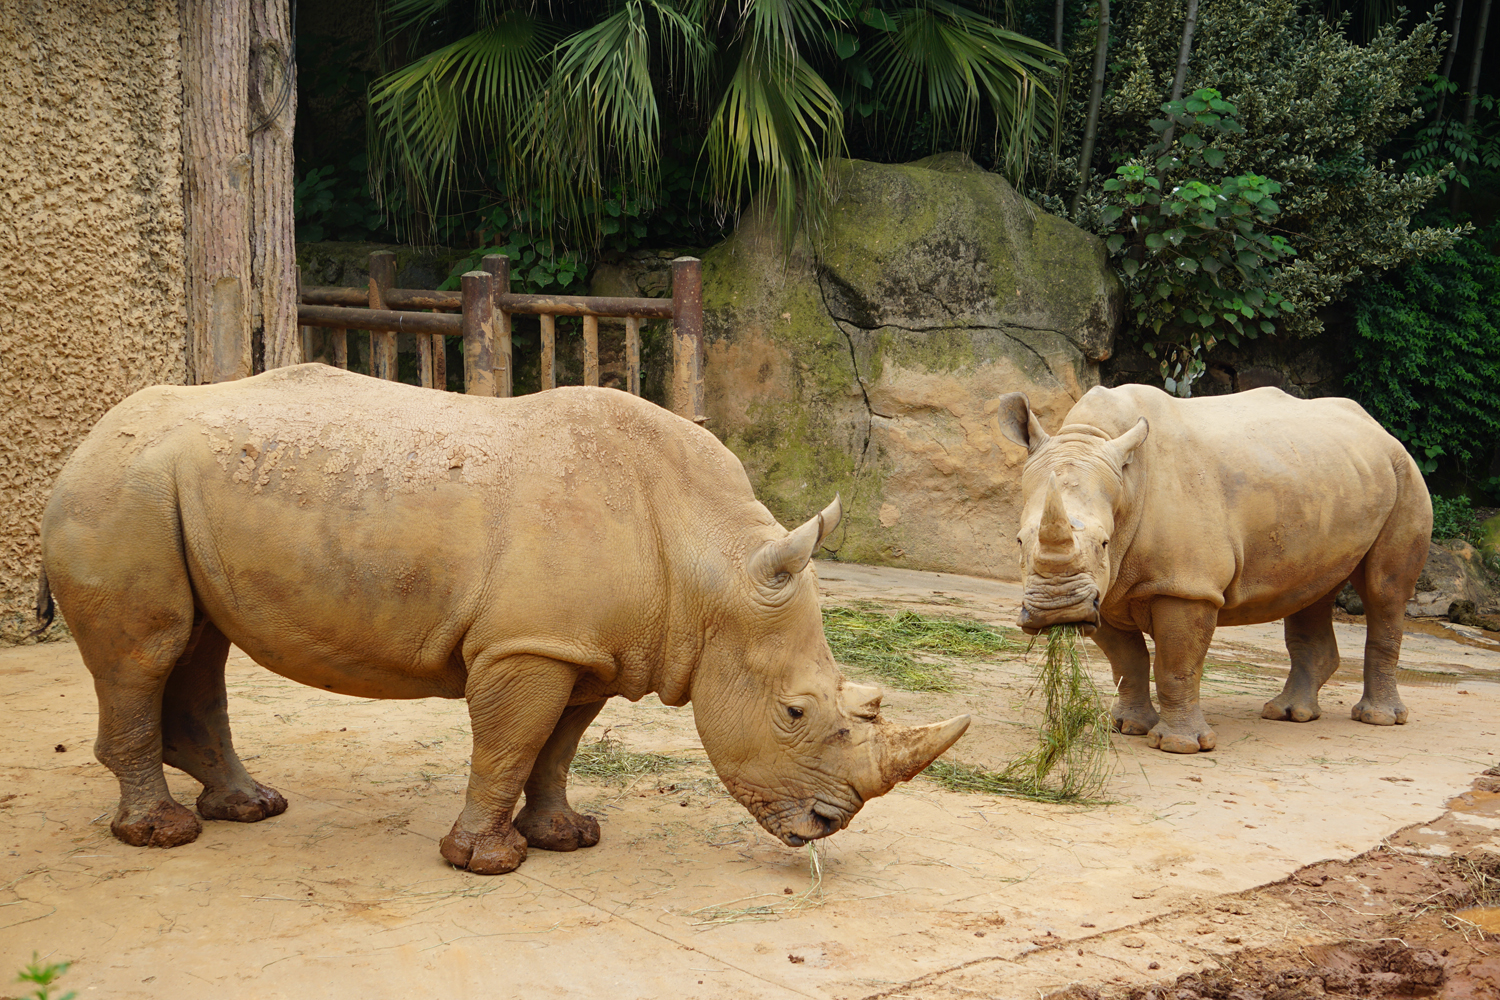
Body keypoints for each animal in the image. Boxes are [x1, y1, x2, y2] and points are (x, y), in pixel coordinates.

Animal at [37, 364, 968, 873]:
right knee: (150, 652)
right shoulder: (528, 646)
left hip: (162, 487)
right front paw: (484, 862)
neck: (713, 565)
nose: (827, 826)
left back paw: (251, 808)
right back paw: (163, 835)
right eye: (794, 712)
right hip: (122, 488)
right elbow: (510, 743)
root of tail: (87, 434)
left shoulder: (589, 649)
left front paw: (568, 838)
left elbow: (557, 747)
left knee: (200, 647)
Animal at [995, 384, 1431, 754]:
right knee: (1312, 589)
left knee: (1384, 591)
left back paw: (1377, 719)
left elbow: (1176, 663)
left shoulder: (1187, 586)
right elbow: (1126, 660)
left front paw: (1180, 746)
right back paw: (1289, 714)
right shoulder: (1107, 591)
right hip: (1329, 477)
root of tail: (1380, 429)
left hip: (1405, 475)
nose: (1058, 612)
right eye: (1018, 541)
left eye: (1103, 543)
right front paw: (1126, 728)